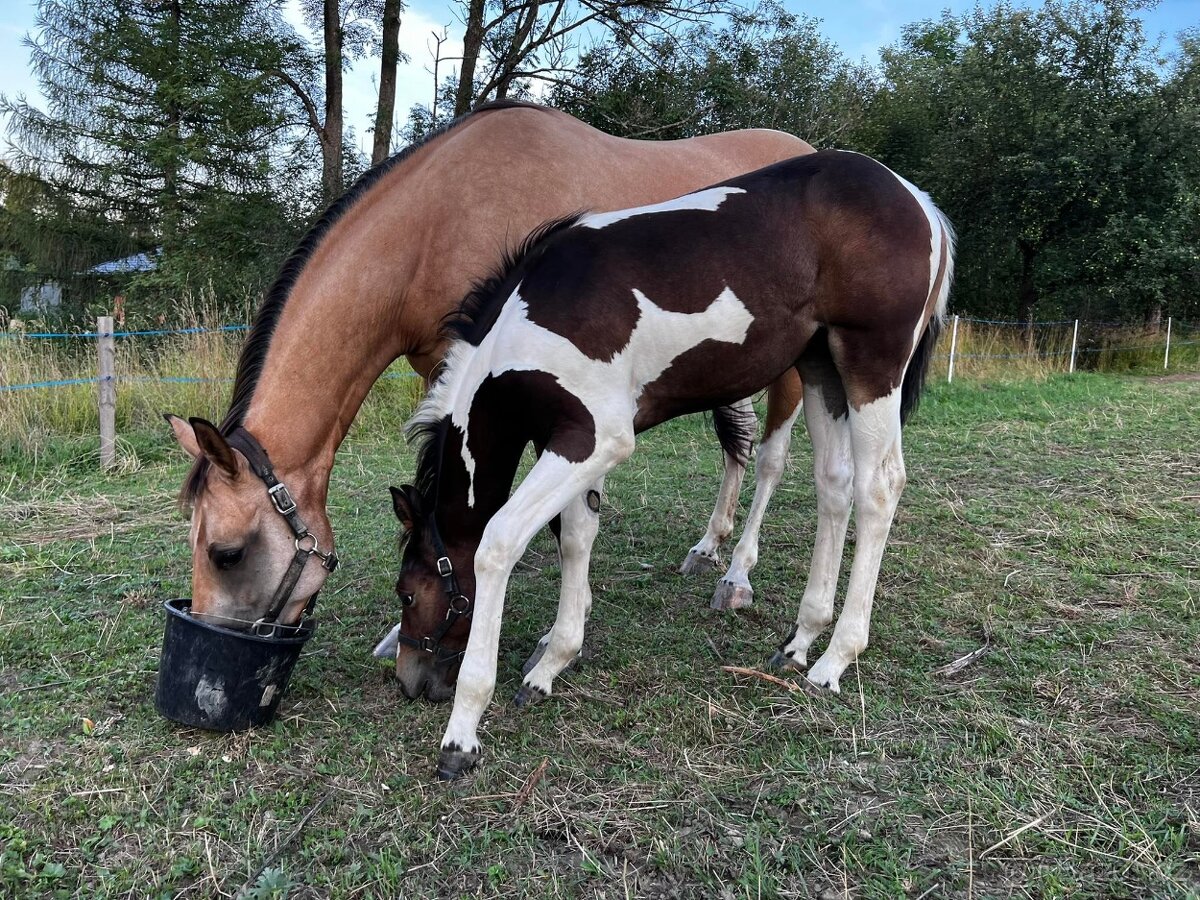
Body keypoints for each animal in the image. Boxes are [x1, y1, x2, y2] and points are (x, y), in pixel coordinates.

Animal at [163, 101, 814, 700]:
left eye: (226, 554)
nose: (210, 657)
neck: (434, 222)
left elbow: (562, 521)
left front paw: (553, 644)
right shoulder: (453, 372)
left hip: (796, 370)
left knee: (771, 461)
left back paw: (738, 576)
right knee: (735, 442)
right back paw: (709, 545)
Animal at [389, 149, 954, 778]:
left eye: (407, 594)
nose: (409, 681)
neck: (526, 325)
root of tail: (918, 200)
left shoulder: (595, 438)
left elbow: (498, 543)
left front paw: (462, 731)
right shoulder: (575, 442)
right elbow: (576, 535)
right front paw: (551, 664)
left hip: (870, 364)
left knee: (878, 489)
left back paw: (835, 658)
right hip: (821, 368)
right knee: (834, 485)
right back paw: (802, 639)